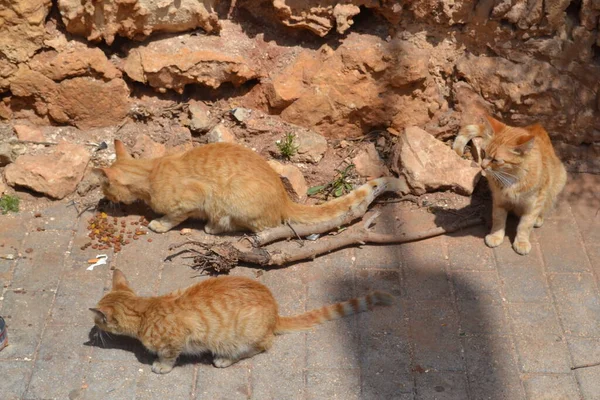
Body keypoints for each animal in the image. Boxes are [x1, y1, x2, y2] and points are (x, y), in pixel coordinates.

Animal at [90, 268, 394, 376]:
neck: (145, 310)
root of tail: (274, 312)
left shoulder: (174, 341)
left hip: (239, 336)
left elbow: (168, 356)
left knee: (263, 346)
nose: (94, 331)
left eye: (98, 322)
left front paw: (161, 366)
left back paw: (225, 359)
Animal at [97, 141, 408, 234]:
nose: (104, 200)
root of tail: (284, 198)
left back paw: (212, 227)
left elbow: (174, 216)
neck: (150, 172)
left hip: (231, 200)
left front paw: (159, 224)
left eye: (105, 189)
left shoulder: (195, 196)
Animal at [454, 114, 568, 255]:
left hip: (560, 180)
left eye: (496, 160)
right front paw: (496, 236)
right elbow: (498, 219)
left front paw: (522, 242)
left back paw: (538, 218)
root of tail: (537, 126)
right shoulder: (499, 200)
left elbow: (525, 225)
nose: (482, 166)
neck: (512, 178)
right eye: (483, 153)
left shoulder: (534, 204)